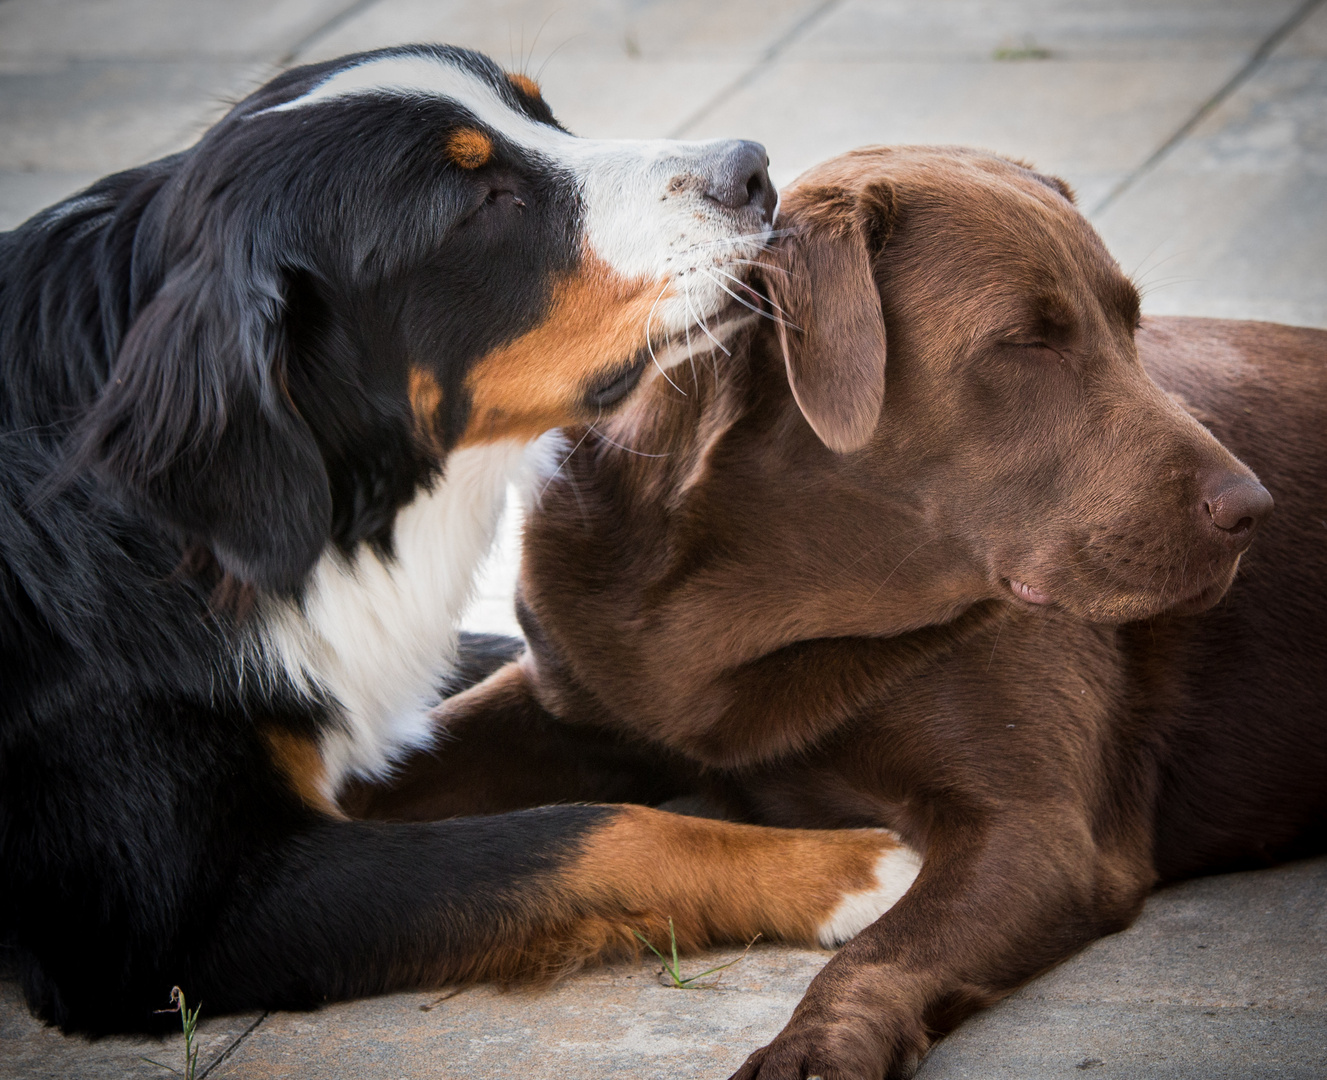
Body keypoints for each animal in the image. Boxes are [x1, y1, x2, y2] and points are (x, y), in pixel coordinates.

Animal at [0, 46, 912, 1034]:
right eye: (481, 202)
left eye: (543, 116)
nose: (751, 171)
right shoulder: (181, 914)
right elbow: (587, 833)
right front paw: (847, 866)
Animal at [352, 145, 1327, 1080]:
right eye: (1027, 342)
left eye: (1131, 326)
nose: (1251, 510)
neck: (744, 605)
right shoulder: (563, 700)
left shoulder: (1038, 831)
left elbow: (881, 954)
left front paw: (812, 1050)